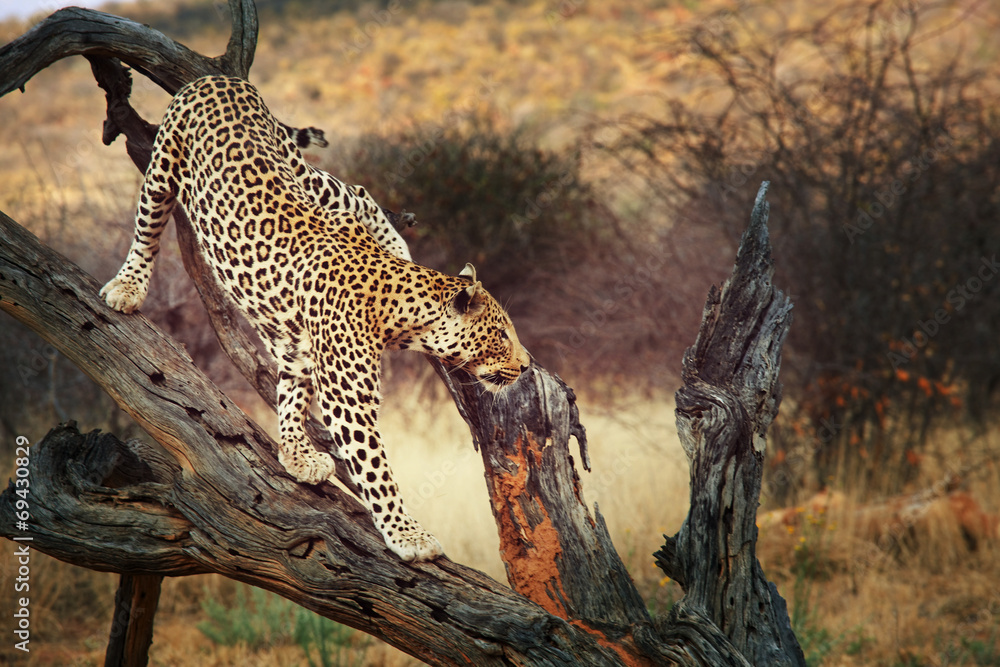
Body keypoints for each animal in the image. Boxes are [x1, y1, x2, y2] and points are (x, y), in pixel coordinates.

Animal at [100, 75, 531, 561]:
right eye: (501, 334)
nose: (527, 365)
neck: (399, 308)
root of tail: (218, 77)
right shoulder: (350, 401)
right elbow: (377, 472)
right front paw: (408, 536)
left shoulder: (303, 348)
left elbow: (292, 394)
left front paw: (297, 456)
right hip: (163, 167)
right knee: (147, 226)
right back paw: (127, 286)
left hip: (302, 172)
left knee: (354, 192)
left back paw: (395, 244)